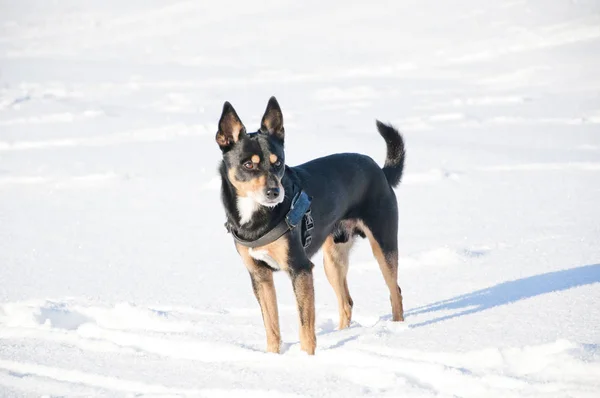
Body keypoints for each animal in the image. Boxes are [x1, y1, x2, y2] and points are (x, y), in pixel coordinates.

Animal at [213, 96, 406, 354]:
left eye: (278, 163)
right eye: (248, 165)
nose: (274, 192)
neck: (256, 216)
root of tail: (381, 172)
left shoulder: (301, 268)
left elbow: (305, 327)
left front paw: (306, 359)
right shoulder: (259, 275)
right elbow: (271, 327)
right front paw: (272, 357)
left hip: (383, 244)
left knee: (396, 293)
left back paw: (398, 332)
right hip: (332, 260)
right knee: (346, 302)